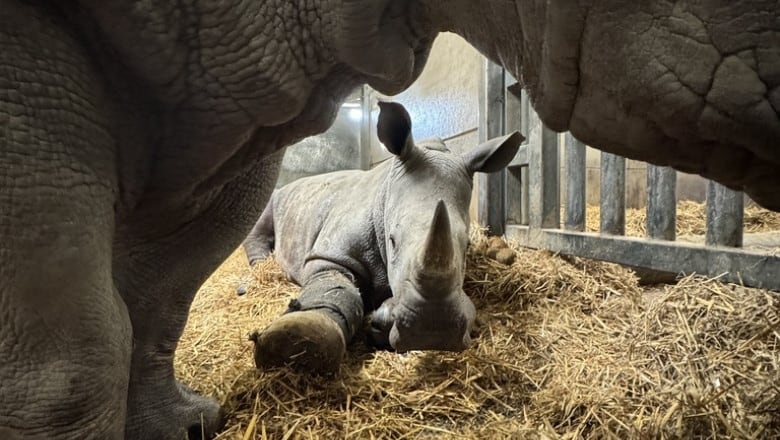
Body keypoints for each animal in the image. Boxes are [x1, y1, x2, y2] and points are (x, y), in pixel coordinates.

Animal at [247, 102, 520, 374]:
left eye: (467, 245)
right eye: (392, 241)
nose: (432, 333)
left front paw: (381, 322)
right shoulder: (331, 255)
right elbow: (334, 289)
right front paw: (296, 343)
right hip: (275, 195)